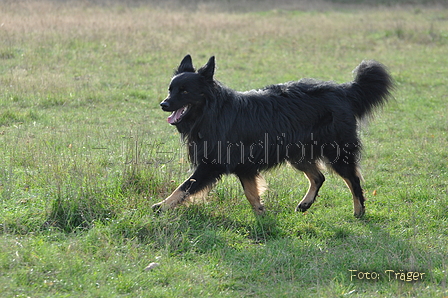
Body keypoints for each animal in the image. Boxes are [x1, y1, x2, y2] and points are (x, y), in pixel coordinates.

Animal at [154, 56, 392, 218]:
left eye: (184, 91)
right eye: (170, 89)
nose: (163, 104)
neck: (212, 111)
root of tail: (343, 91)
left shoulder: (211, 165)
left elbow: (184, 187)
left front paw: (161, 207)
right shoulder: (245, 167)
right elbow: (252, 194)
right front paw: (262, 216)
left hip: (336, 152)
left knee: (353, 179)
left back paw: (359, 210)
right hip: (298, 154)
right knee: (318, 177)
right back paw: (305, 204)